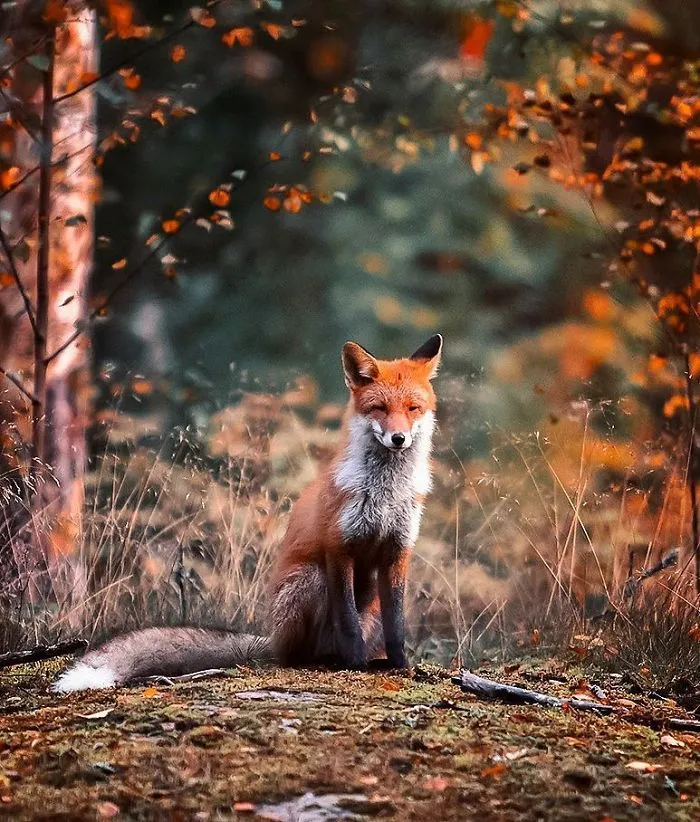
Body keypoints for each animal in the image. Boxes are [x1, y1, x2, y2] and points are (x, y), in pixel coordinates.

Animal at [52, 334, 443, 693]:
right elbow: (347, 619)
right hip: (309, 578)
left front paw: (399, 664)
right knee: (297, 656)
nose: (398, 439)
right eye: (379, 408)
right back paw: (329, 660)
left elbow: (397, 623)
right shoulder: (339, 547)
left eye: (412, 408)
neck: (385, 492)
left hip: (367, 601)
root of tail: (272, 637)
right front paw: (356, 663)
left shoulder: (398, 551)